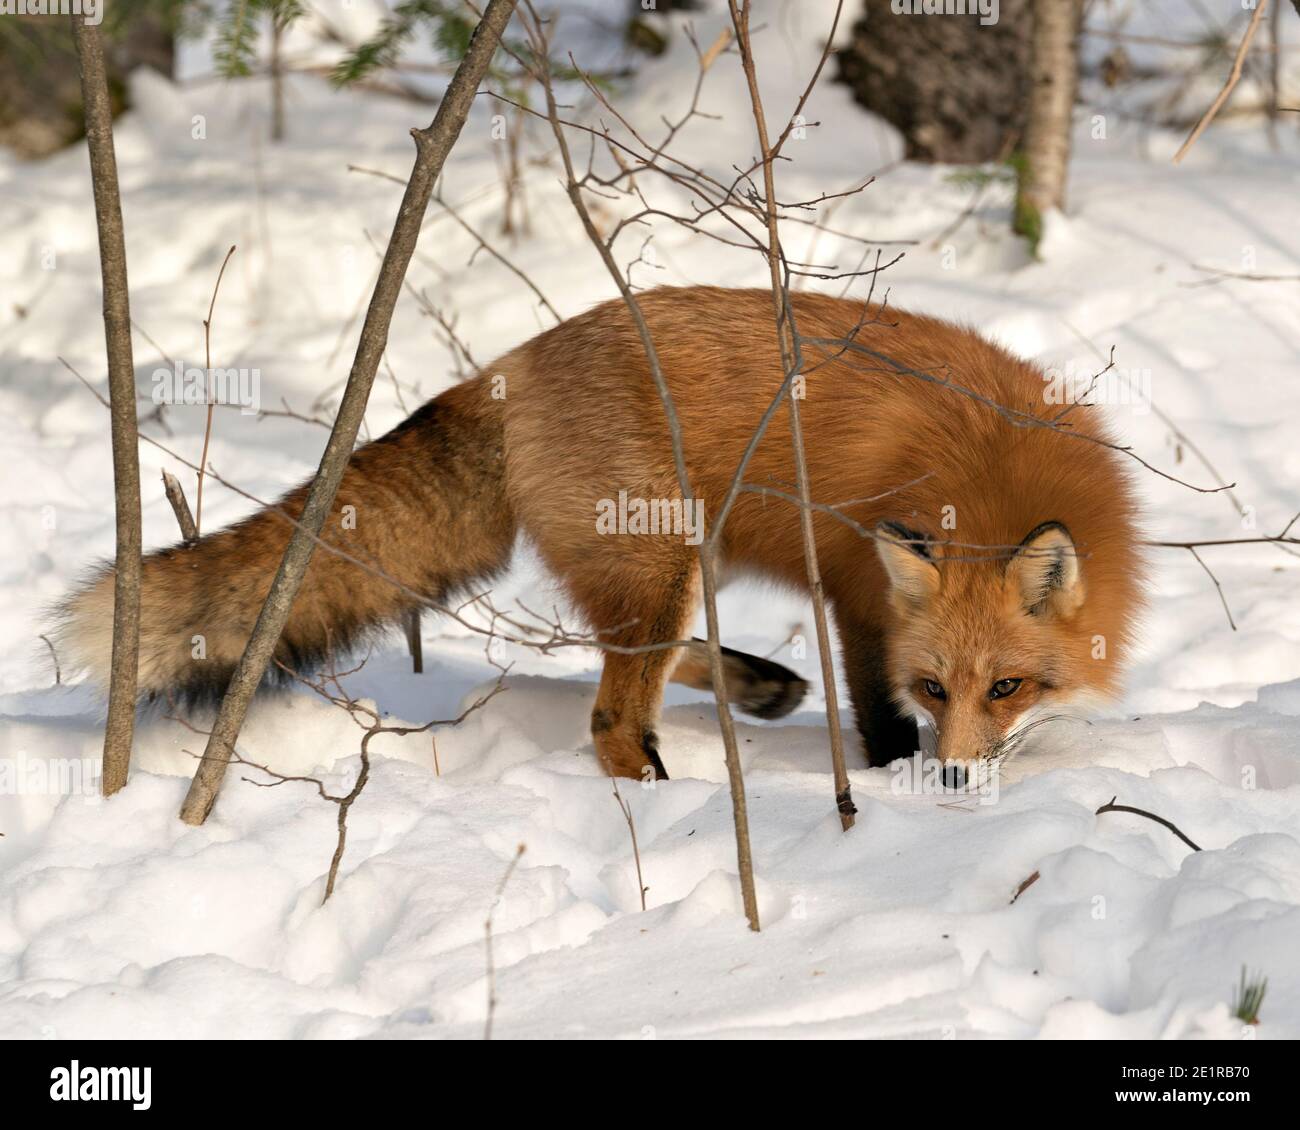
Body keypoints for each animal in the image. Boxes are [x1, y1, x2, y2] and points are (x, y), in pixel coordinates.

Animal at [55, 286, 1144, 775]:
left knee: (633, 658)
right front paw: (887, 779)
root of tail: (510, 364)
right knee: (613, 715)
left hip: (680, 559)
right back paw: (660, 796)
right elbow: (874, 709)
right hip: (659, 560)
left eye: (1006, 686)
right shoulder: (855, 584)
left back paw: (759, 683)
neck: (989, 471)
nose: (957, 772)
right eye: (938, 686)